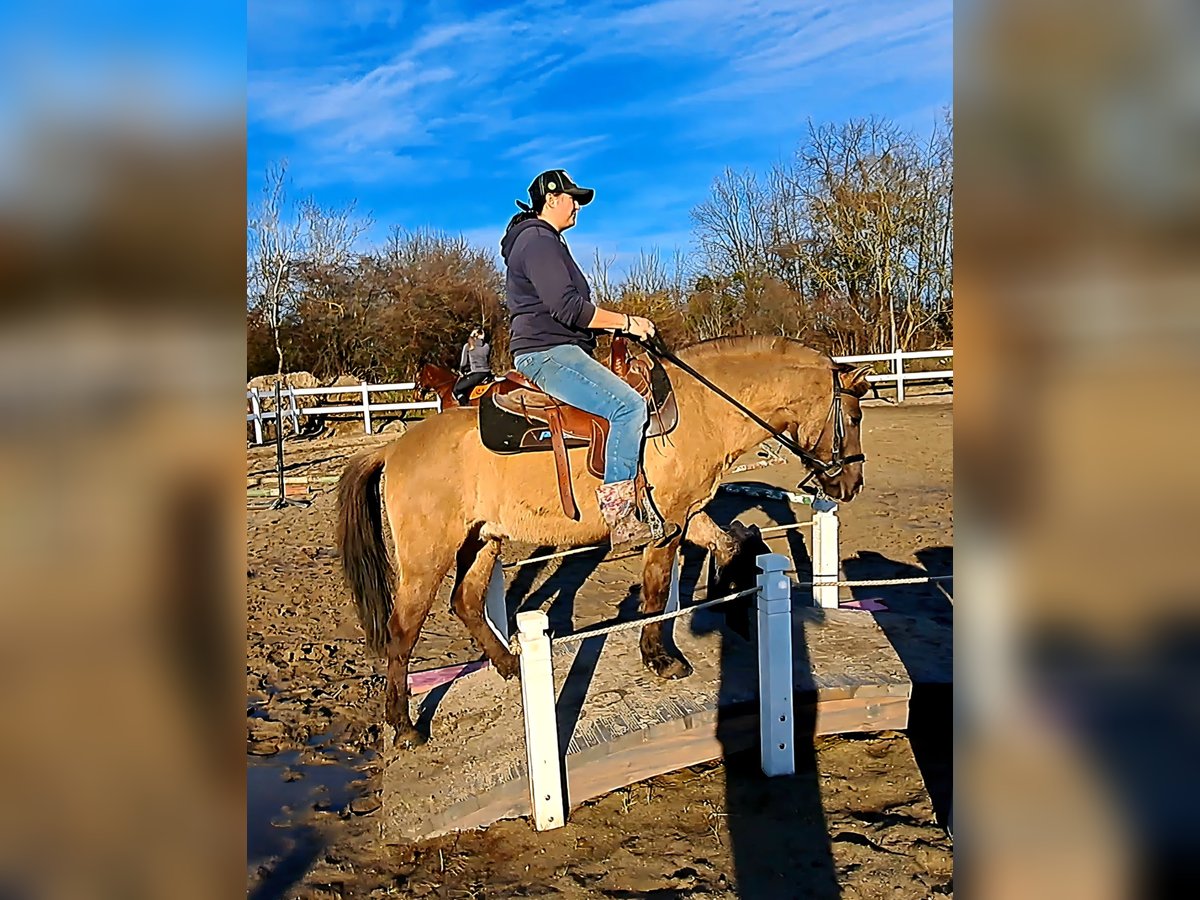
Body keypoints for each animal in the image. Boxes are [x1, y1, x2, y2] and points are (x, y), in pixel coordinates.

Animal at [337, 336, 872, 748]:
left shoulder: (689, 514)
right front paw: (660, 658)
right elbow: (656, 591)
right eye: (854, 416)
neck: (702, 410)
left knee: (465, 602)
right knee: (403, 630)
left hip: (483, 541)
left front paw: (731, 602)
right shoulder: (666, 523)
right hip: (426, 557)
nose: (852, 485)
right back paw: (404, 727)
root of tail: (392, 449)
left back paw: (512, 665)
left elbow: (731, 544)